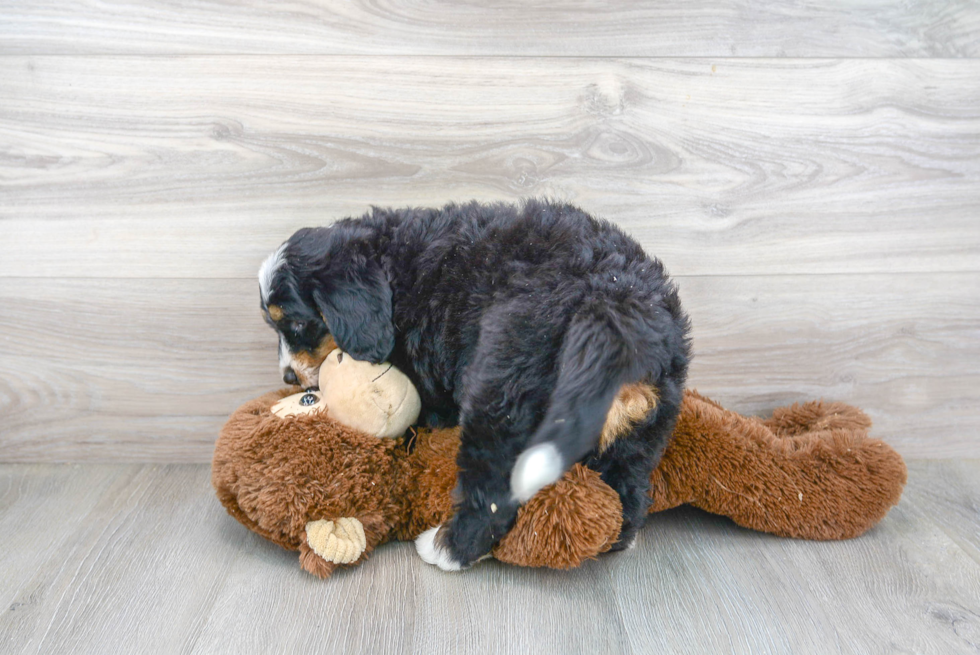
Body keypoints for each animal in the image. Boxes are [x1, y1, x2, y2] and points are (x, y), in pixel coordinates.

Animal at [256, 199, 692, 568]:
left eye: (297, 323)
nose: (288, 377)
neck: (395, 272)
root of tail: (615, 301)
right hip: (646, 420)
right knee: (629, 488)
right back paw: (614, 538)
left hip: (502, 392)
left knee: (491, 494)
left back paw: (447, 549)